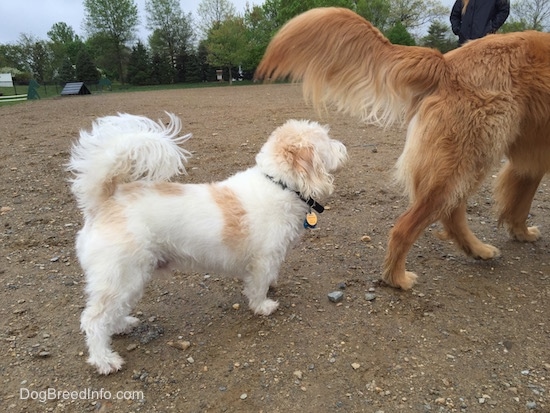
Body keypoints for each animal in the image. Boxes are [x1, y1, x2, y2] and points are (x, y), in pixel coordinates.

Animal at [68, 112, 344, 374]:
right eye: (327, 140)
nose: (343, 148)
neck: (279, 185)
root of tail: (105, 202)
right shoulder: (262, 260)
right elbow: (257, 288)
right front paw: (263, 306)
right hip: (120, 277)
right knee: (93, 319)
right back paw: (104, 360)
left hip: (130, 278)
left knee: (112, 312)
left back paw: (123, 325)